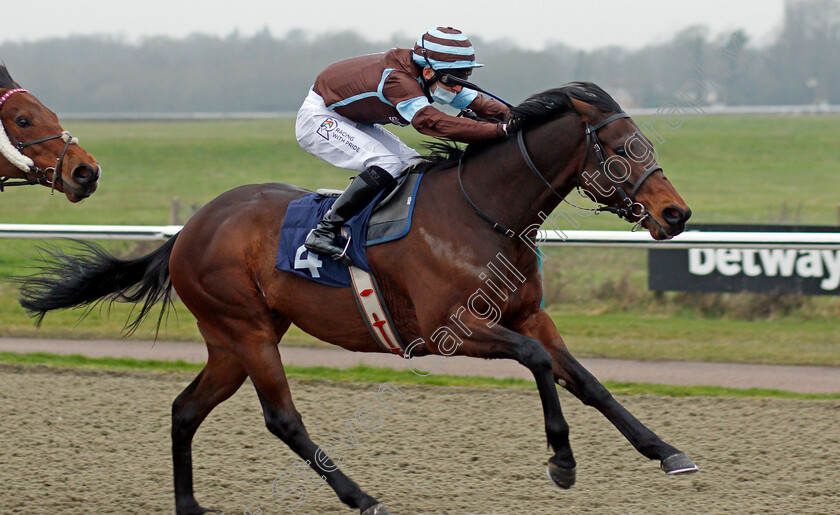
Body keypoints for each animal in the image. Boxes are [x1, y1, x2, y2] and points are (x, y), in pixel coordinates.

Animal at [18, 82, 696, 512]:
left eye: (645, 142)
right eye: (621, 148)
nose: (677, 214)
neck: (485, 212)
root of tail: (188, 230)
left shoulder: (529, 314)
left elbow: (586, 380)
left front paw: (666, 451)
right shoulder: (452, 330)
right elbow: (536, 363)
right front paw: (562, 462)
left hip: (233, 341)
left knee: (185, 409)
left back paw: (189, 505)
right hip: (247, 331)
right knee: (282, 418)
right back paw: (362, 497)